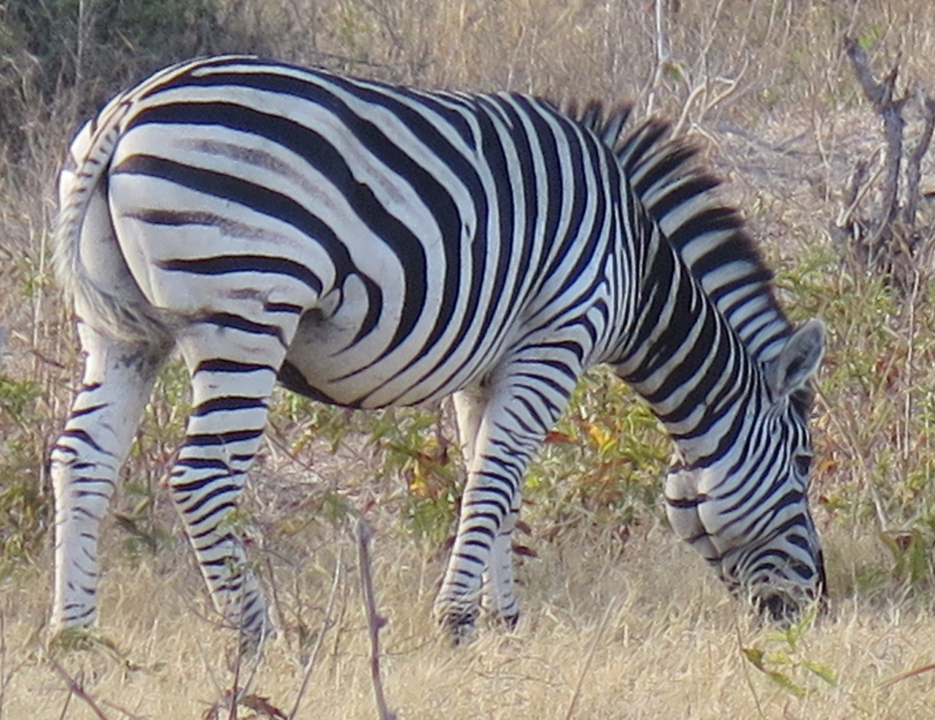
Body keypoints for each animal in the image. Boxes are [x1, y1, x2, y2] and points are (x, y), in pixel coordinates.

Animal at [50, 56, 825, 650]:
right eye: (801, 466)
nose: (817, 605)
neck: (636, 263)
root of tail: (133, 105)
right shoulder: (558, 335)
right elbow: (497, 477)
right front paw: (456, 622)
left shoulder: (485, 363)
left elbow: (494, 478)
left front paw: (503, 621)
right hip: (245, 310)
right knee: (202, 478)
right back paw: (256, 639)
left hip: (121, 333)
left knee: (81, 461)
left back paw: (75, 636)